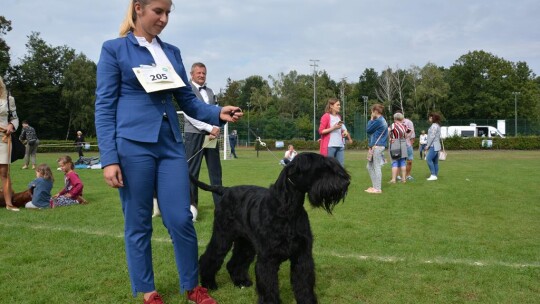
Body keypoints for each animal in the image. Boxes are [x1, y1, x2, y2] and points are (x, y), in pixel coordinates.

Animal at [193, 153, 350, 302]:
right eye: (322, 167)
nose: (346, 182)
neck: (287, 208)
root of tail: (226, 190)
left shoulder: (302, 256)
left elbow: (304, 283)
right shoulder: (268, 259)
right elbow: (268, 286)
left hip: (246, 243)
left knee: (235, 262)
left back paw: (241, 281)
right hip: (223, 236)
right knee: (209, 257)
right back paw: (209, 284)